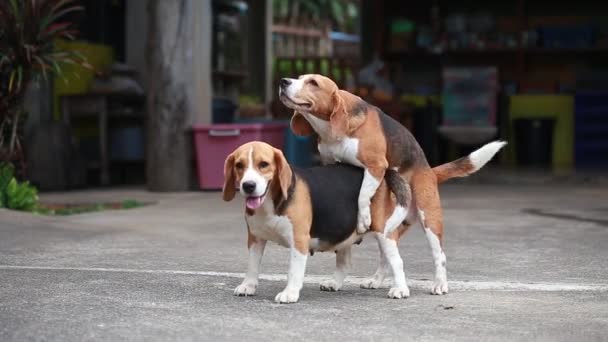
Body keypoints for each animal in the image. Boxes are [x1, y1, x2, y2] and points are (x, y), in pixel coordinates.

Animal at [221, 140, 410, 304]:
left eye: (263, 164)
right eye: (239, 165)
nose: (248, 186)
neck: (269, 203)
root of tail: (384, 174)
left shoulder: (299, 240)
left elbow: (294, 270)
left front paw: (290, 293)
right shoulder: (255, 238)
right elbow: (252, 264)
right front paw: (248, 285)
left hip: (382, 231)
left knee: (396, 261)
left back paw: (400, 289)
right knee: (347, 262)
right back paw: (342, 282)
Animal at [278, 74, 506, 294]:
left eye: (313, 82)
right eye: (300, 78)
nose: (284, 82)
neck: (331, 130)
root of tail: (429, 171)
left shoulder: (376, 166)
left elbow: (363, 194)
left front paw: (363, 218)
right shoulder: (332, 162)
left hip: (429, 219)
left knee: (438, 255)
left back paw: (439, 284)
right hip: (390, 228)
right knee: (387, 257)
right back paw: (376, 281)